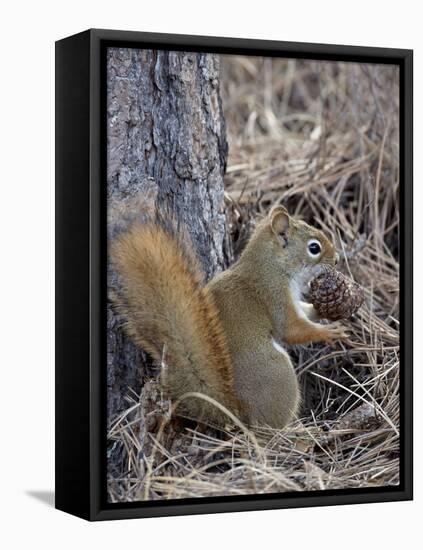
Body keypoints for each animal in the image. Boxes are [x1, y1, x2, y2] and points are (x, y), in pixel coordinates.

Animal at [111, 206, 346, 432]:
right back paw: (296, 431)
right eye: (314, 248)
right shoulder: (274, 296)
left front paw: (324, 309)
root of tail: (234, 410)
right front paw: (327, 332)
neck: (272, 265)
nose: (336, 259)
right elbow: (292, 329)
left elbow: (305, 313)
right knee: (268, 428)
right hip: (278, 374)